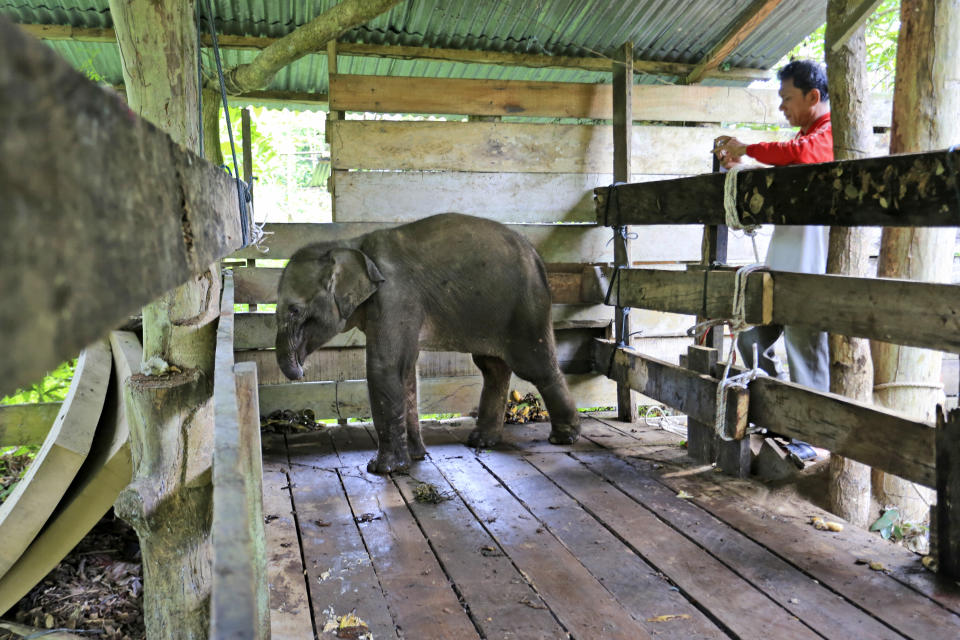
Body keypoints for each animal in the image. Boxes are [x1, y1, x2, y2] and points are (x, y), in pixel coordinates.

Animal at [274, 212, 580, 472]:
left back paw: (564, 438)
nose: (301, 371)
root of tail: (537, 257)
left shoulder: (395, 297)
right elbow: (406, 370)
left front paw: (382, 469)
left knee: (535, 366)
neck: (351, 245)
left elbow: (385, 367)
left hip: (526, 306)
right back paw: (481, 440)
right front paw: (416, 456)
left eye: (295, 310)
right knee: (492, 368)